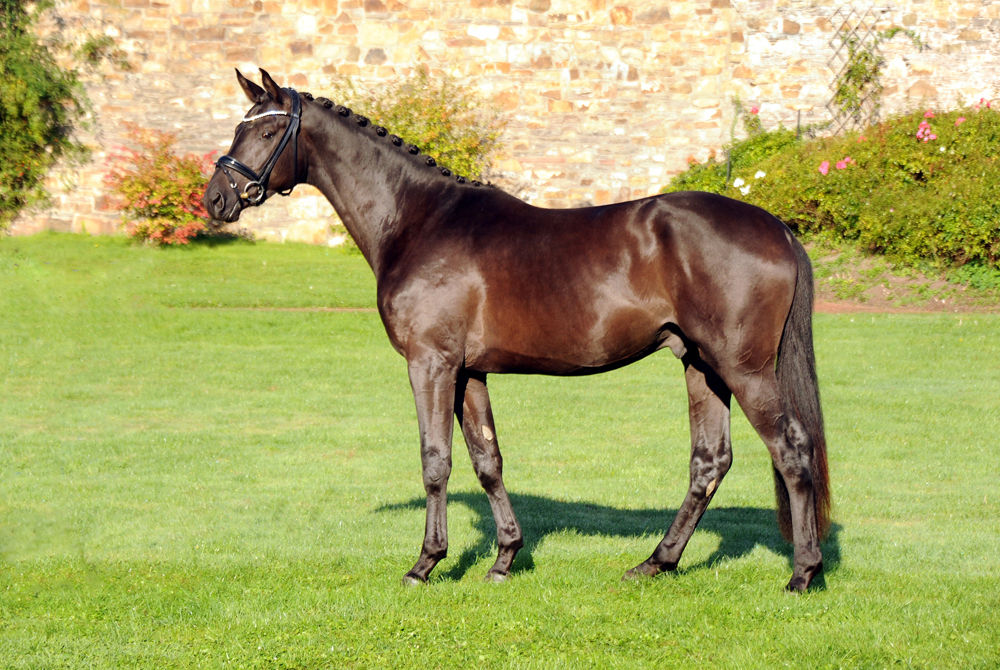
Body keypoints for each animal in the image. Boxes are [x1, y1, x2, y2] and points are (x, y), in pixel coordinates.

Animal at [201, 69, 828, 592]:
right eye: (238, 127)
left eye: (268, 131)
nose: (216, 199)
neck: (418, 220)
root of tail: (776, 226)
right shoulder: (469, 372)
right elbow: (487, 460)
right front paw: (504, 559)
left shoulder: (430, 364)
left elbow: (436, 461)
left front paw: (425, 564)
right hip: (700, 364)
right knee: (709, 462)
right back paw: (656, 562)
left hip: (743, 368)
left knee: (791, 449)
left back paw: (803, 573)